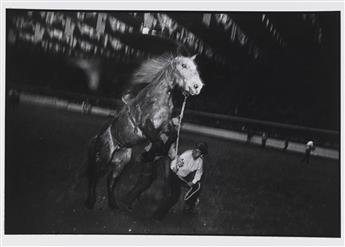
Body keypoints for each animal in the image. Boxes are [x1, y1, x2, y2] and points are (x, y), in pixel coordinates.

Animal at [84, 54, 203, 208]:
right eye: (183, 65)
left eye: (195, 67)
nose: (197, 86)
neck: (156, 99)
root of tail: (99, 136)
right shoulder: (146, 127)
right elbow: (158, 142)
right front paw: (147, 155)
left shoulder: (165, 125)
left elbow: (171, 136)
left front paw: (162, 154)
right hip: (104, 158)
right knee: (95, 175)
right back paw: (90, 202)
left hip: (121, 161)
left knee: (111, 180)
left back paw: (113, 204)